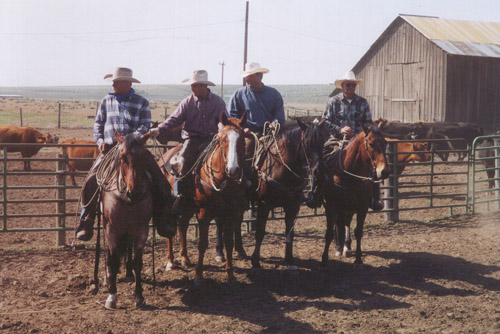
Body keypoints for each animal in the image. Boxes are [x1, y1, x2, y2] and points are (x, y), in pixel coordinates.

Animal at [98, 132, 151, 310]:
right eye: (122, 158)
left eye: (144, 157)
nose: (134, 193)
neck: (127, 201)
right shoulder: (112, 229)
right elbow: (114, 260)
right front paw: (112, 296)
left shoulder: (142, 230)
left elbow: (137, 262)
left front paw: (139, 296)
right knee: (110, 254)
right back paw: (108, 277)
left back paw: (128, 273)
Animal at [159, 111, 247, 284]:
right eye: (222, 139)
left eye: (241, 139)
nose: (233, 170)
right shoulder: (204, 214)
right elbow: (202, 243)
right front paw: (199, 275)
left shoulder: (231, 214)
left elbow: (228, 242)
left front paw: (230, 274)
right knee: (171, 231)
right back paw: (171, 261)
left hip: (187, 206)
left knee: (183, 225)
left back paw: (185, 258)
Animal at [247, 118, 328, 270]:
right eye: (307, 143)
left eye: (322, 142)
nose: (318, 171)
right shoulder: (264, 204)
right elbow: (260, 232)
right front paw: (255, 261)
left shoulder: (293, 205)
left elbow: (290, 231)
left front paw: (289, 258)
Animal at [320, 124, 390, 268]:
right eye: (371, 144)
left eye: (385, 143)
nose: (384, 172)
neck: (348, 173)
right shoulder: (331, 207)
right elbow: (329, 233)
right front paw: (324, 259)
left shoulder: (362, 208)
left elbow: (358, 232)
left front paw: (358, 259)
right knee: (338, 224)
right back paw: (339, 247)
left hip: (349, 208)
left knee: (346, 222)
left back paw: (346, 247)